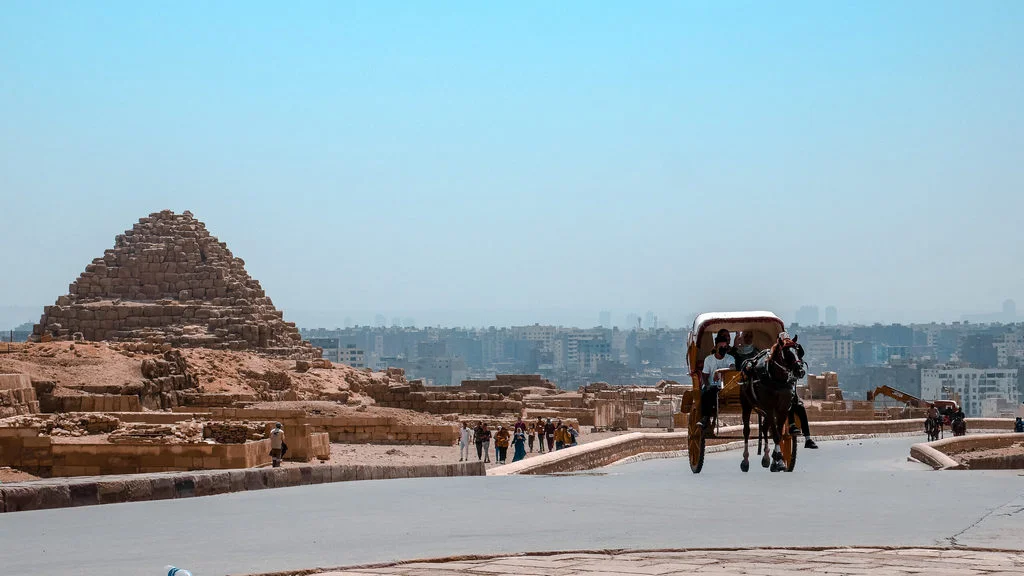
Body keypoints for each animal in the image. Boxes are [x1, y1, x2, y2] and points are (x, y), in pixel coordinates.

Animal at [741, 332, 802, 471]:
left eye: (798, 350)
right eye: (786, 352)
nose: (800, 370)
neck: (776, 379)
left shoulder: (783, 409)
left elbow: (778, 434)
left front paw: (777, 461)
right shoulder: (769, 408)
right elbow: (776, 435)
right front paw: (778, 459)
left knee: (764, 428)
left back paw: (766, 458)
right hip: (747, 404)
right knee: (746, 431)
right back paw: (745, 461)